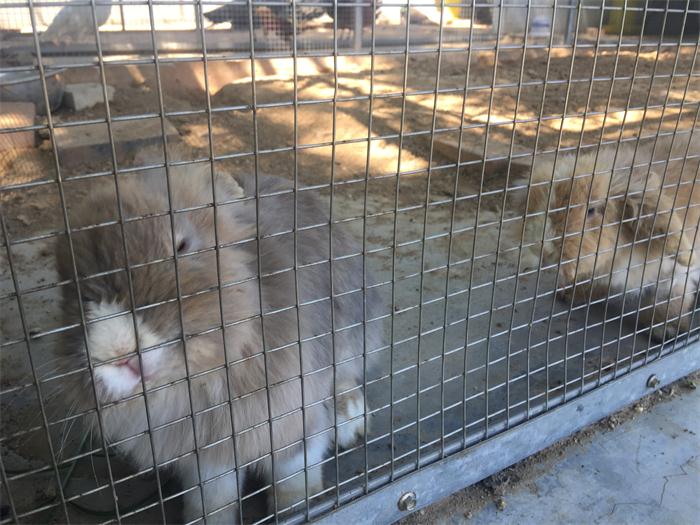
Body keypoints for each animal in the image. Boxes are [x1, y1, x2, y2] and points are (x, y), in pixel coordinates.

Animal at [53, 161, 376, 523]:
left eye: (181, 246)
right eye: (70, 290)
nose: (119, 354)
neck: (201, 380)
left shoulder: (291, 418)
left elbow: (294, 472)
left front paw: (299, 509)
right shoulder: (207, 451)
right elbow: (212, 496)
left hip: (354, 331)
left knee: (347, 375)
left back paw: (350, 417)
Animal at [519, 131, 700, 340]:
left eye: (591, 210)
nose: (542, 248)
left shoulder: (673, 274)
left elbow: (669, 297)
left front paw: (664, 330)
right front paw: (569, 293)